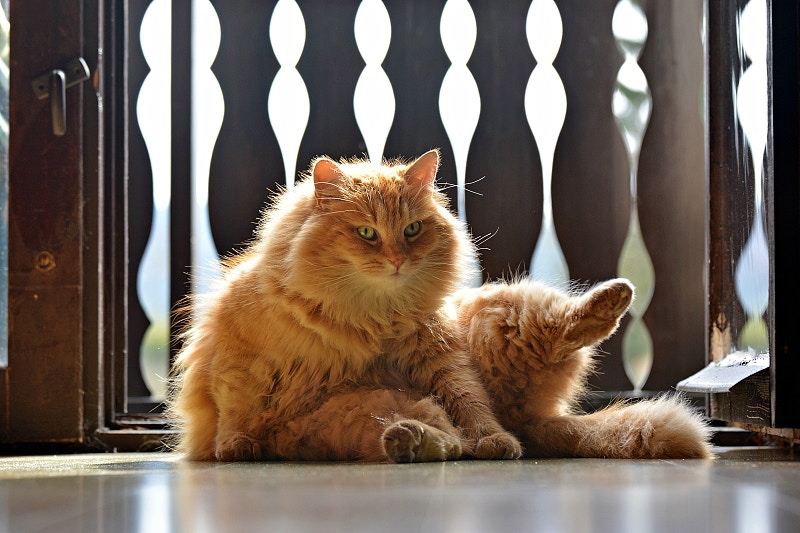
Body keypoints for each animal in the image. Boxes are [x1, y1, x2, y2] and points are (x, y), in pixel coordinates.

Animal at [169, 150, 712, 462]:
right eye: (367, 233)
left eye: (412, 229)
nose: (396, 259)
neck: (366, 315)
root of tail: (531, 419)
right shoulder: (238, 362)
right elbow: (237, 410)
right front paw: (234, 448)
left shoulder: (441, 354)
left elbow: (470, 402)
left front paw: (493, 438)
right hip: (362, 414)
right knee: (446, 439)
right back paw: (410, 442)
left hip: (502, 315)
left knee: (555, 342)